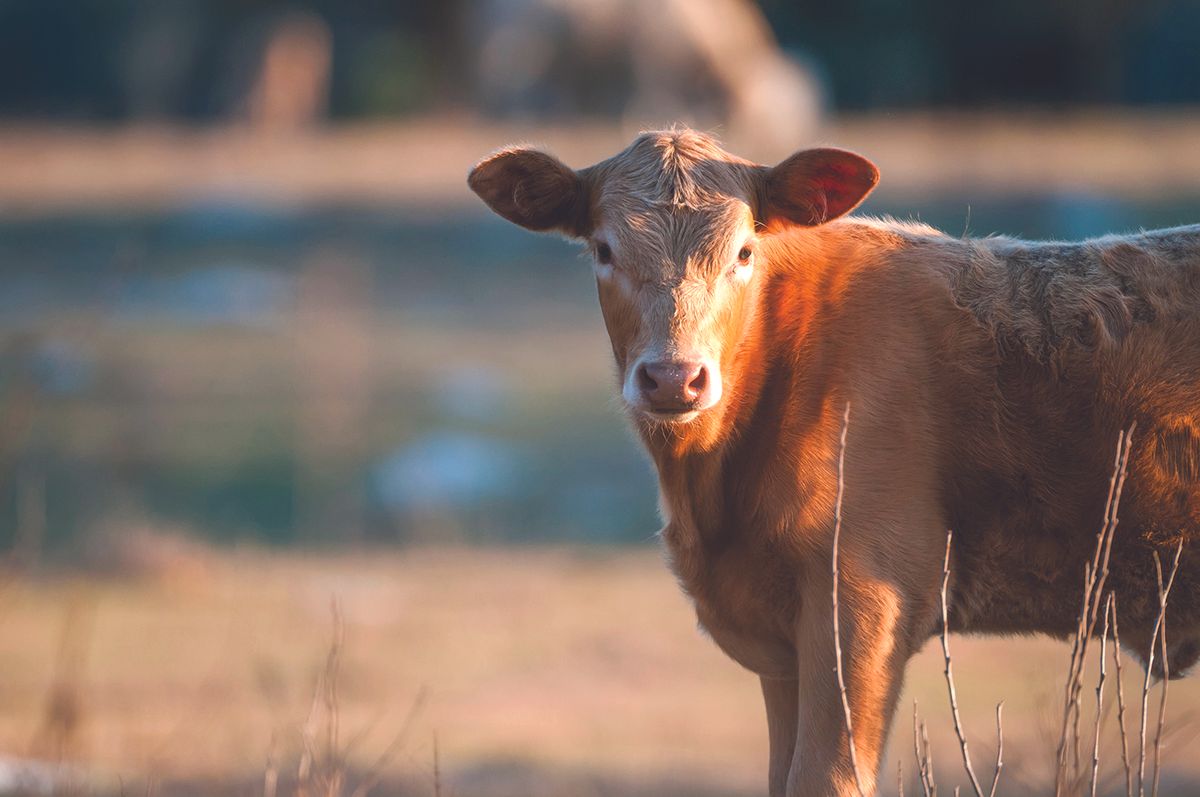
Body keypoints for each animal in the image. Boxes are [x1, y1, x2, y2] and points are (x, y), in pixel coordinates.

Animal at [467, 128, 1200, 796]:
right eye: (603, 249)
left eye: (744, 250)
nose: (674, 378)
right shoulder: (784, 640)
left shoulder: (863, 596)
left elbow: (828, 777)